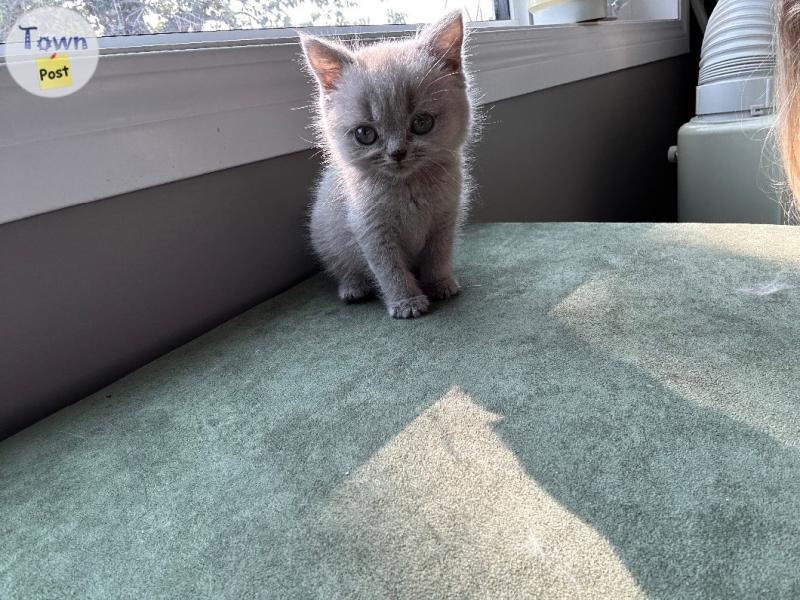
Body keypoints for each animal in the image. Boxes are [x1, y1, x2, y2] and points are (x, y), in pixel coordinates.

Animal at [300, 10, 476, 318]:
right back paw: (353, 288)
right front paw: (407, 302)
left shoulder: (445, 219)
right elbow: (389, 269)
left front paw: (440, 284)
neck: (408, 187)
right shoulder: (370, 229)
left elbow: (438, 256)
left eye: (422, 123)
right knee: (342, 268)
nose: (397, 153)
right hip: (324, 237)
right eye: (365, 134)